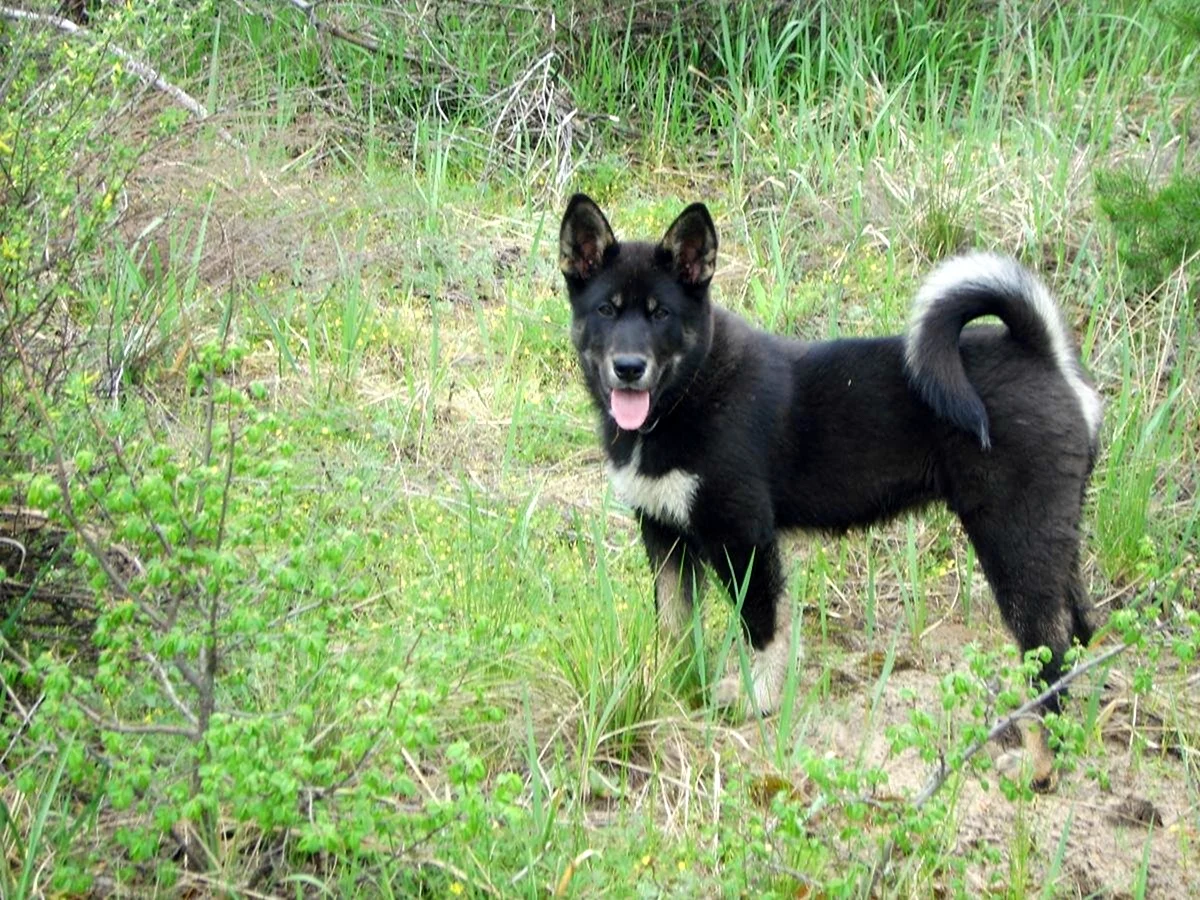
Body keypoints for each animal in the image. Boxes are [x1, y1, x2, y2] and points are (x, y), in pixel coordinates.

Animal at [556, 195, 1099, 782]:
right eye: (606, 311)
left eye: (661, 314)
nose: (629, 368)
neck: (687, 393)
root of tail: (1043, 355)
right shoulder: (663, 533)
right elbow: (674, 630)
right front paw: (667, 690)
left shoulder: (744, 538)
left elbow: (763, 629)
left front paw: (758, 699)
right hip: (1051, 541)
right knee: (1079, 632)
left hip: (1014, 544)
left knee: (1048, 657)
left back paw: (1039, 765)